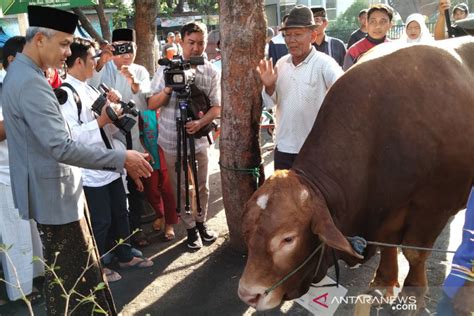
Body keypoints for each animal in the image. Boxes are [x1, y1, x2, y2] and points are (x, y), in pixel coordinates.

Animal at [239, 35, 474, 310]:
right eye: (247, 230)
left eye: (288, 239)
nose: (248, 294)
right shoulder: (386, 209)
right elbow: (389, 244)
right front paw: (384, 280)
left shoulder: (434, 207)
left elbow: (414, 253)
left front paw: (412, 294)